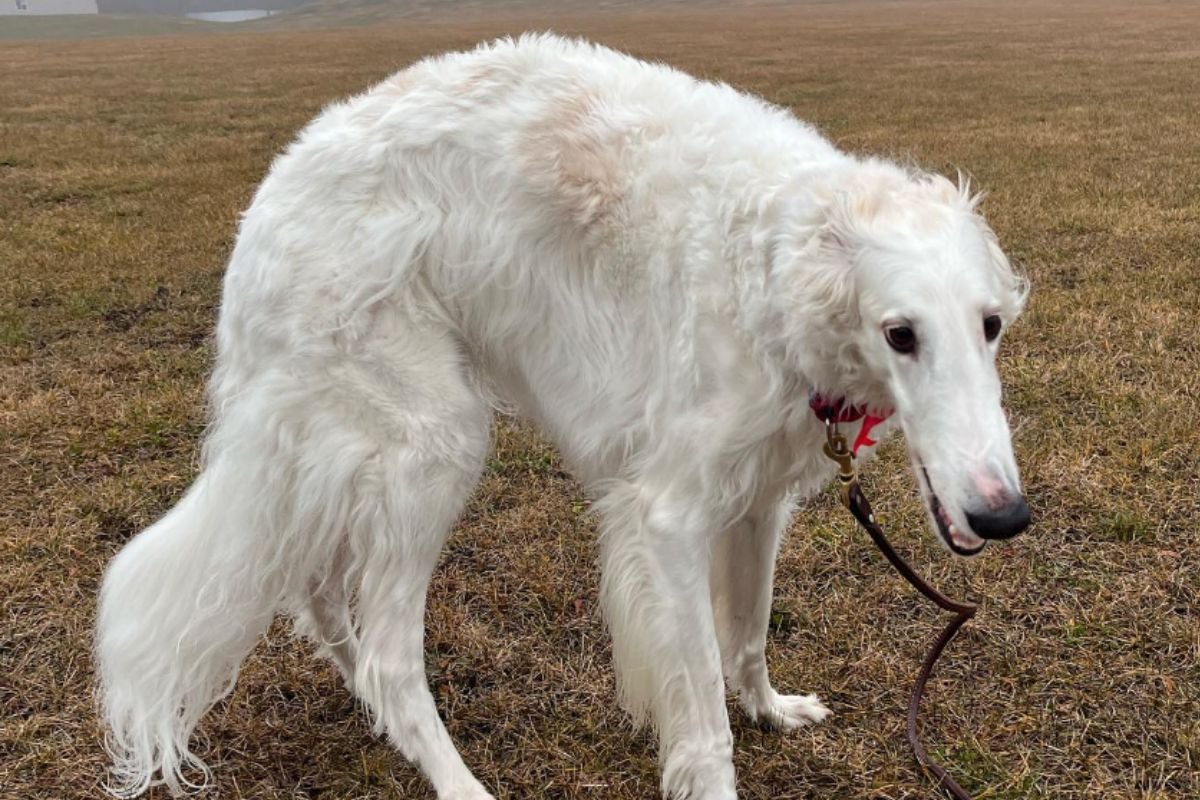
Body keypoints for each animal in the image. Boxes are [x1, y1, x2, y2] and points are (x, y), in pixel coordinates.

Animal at [96, 32, 1032, 800]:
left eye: (990, 323)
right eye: (901, 334)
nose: (1005, 515)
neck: (775, 258)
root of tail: (269, 198)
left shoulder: (759, 498)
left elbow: (749, 635)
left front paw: (771, 709)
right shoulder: (668, 517)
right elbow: (704, 717)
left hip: (345, 454)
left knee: (323, 601)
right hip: (432, 445)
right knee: (391, 660)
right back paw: (455, 779)